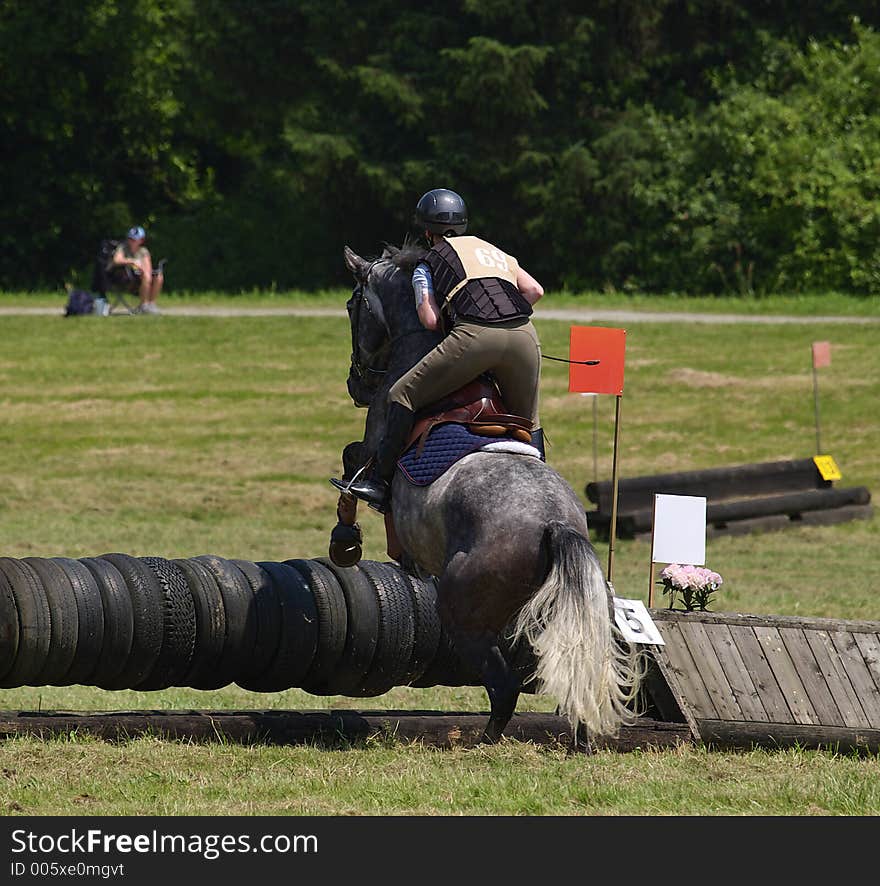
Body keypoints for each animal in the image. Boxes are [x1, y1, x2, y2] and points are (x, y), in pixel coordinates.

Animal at [328, 241, 640, 744]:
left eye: (352, 307)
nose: (356, 385)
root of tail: (554, 523)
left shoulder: (375, 441)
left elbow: (354, 466)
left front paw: (345, 542)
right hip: (550, 606)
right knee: (564, 661)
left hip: (462, 610)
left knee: (504, 682)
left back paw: (484, 739)